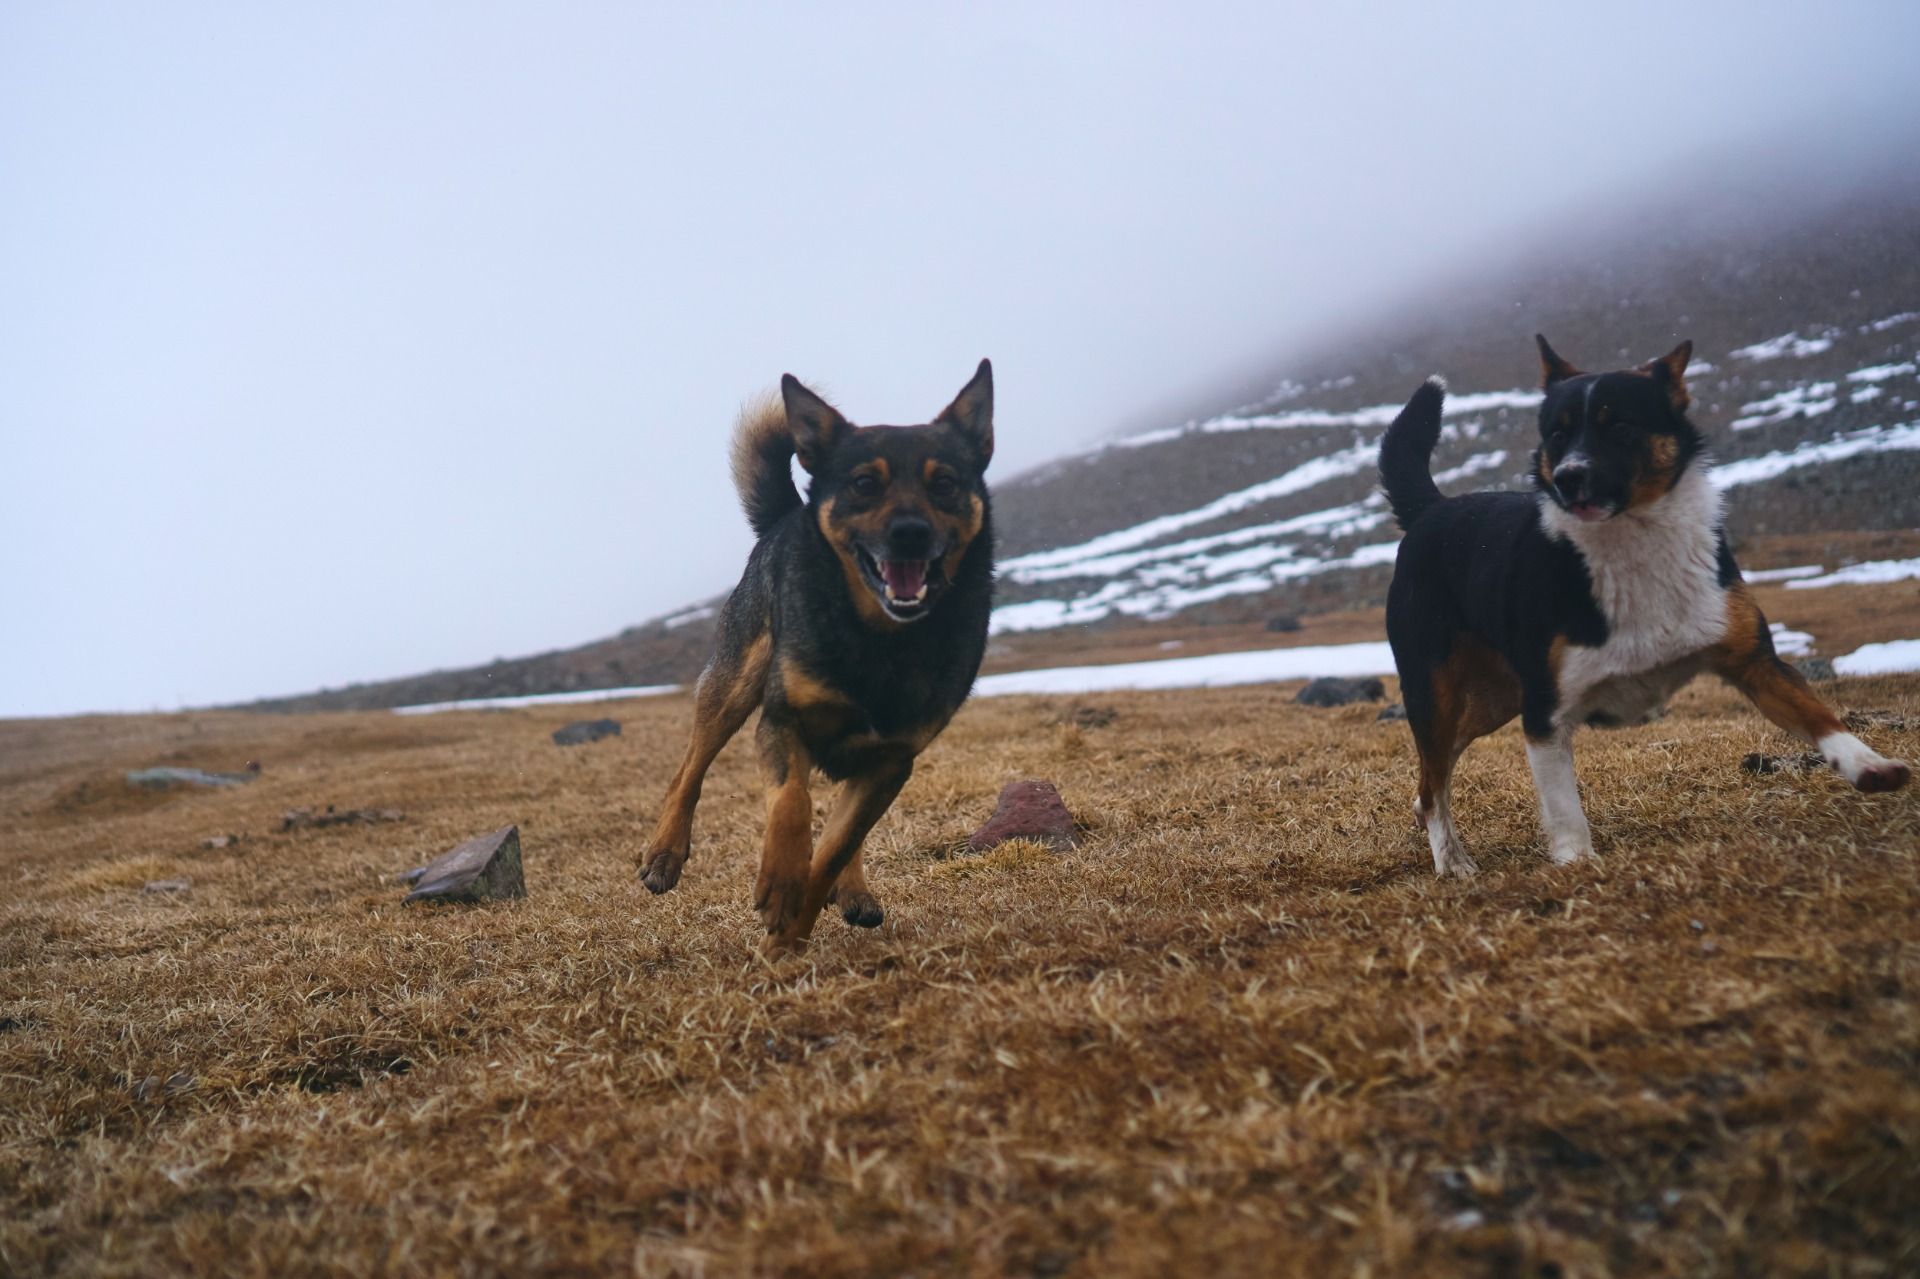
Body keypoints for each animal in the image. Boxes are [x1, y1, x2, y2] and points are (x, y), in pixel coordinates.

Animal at [645, 359, 1006, 944]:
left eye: (945, 483)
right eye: (863, 484)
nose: (910, 533)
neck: (880, 638)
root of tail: (787, 516)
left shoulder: (892, 761)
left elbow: (834, 848)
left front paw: (792, 929)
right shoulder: (782, 721)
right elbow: (792, 803)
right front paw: (780, 881)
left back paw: (854, 891)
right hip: (732, 686)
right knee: (689, 770)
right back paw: (665, 853)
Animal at [1382, 336, 1904, 875]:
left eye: (1620, 426)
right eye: (1557, 434)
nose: (1568, 478)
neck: (1633, 543)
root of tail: (1433, 508)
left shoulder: (1755, 662)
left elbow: (1819, 716)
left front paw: (1869, 764)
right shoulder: (1545, 714)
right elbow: (1564, 808)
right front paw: (1577, 863)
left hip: (1494, 699)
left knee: (1433, 777)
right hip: (1439, 694)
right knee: (1434, 781)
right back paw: (1452, 862)